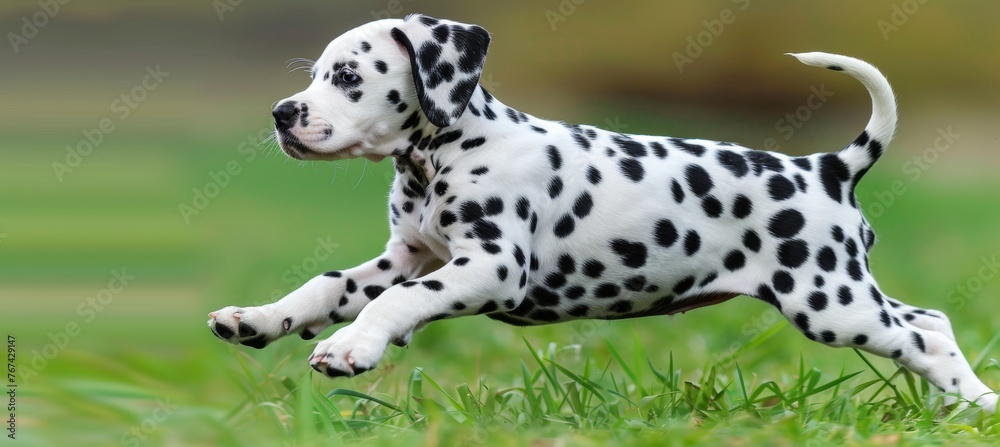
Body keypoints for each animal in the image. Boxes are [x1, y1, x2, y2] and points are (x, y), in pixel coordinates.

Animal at [207, 14, 996, 412]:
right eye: (314, 75)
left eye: (346, 76)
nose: (281, 115)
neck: (445, 154)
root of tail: (827, 167)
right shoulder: (409, 255)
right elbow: (328, 285)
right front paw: (258, 318)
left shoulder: (490, 267)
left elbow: (397, 302)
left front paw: (353, 349)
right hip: (845, 296)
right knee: (929, 323)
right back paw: (962, 407)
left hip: (829, 301)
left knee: (924, 336)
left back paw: (978, 407)